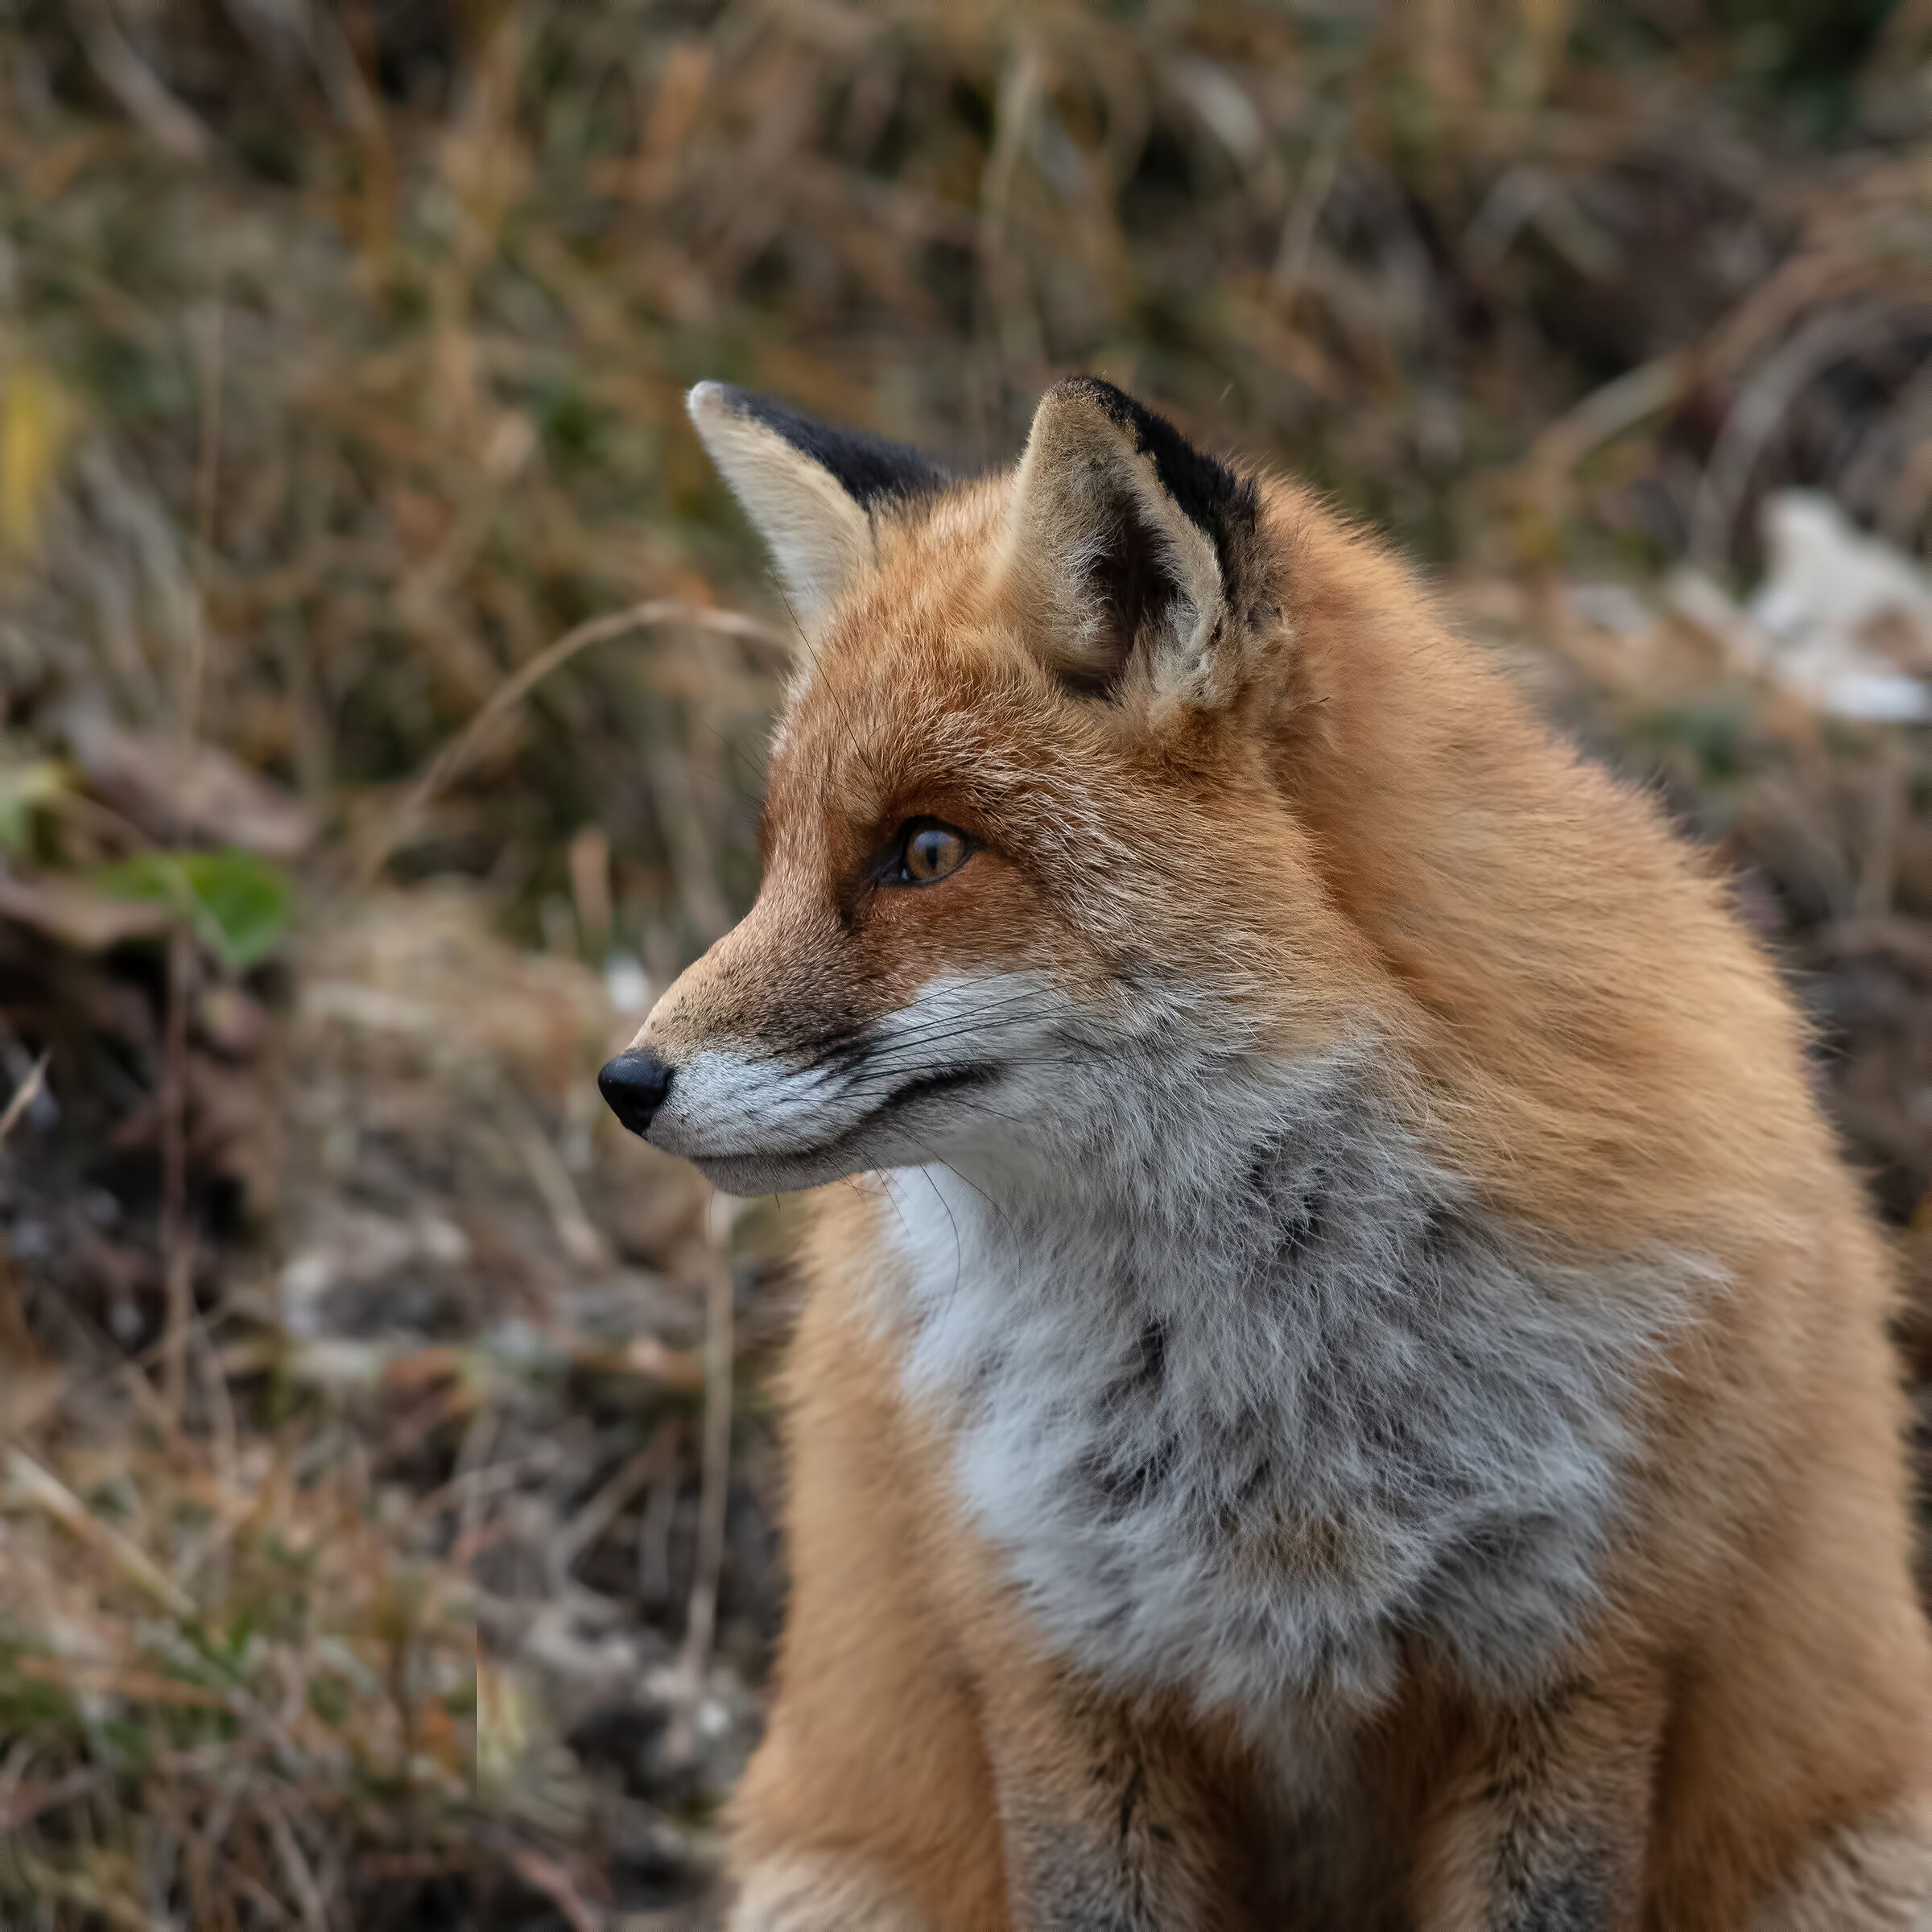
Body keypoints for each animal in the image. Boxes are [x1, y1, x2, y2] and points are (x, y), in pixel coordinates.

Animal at [598, 374, 1932, 1929]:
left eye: (924, 853)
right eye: (780, 856)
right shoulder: (1060, 1667)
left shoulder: (1582, 1670)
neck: (1271, 1419)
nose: (625, 1082)